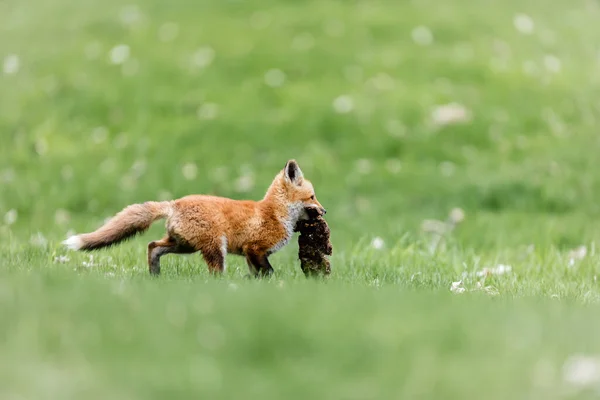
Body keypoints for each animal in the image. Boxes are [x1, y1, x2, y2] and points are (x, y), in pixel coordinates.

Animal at [63, 159, 326, 278]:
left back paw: (155, 275)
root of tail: (174, 203)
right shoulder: (254, 248)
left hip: (184, 245)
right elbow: (269, 273)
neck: (276, 213)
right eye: (313, 197)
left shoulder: (252, 255)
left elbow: (258, 275)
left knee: (152, 246)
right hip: (214, 247)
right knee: (214, 274)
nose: (324, 212)